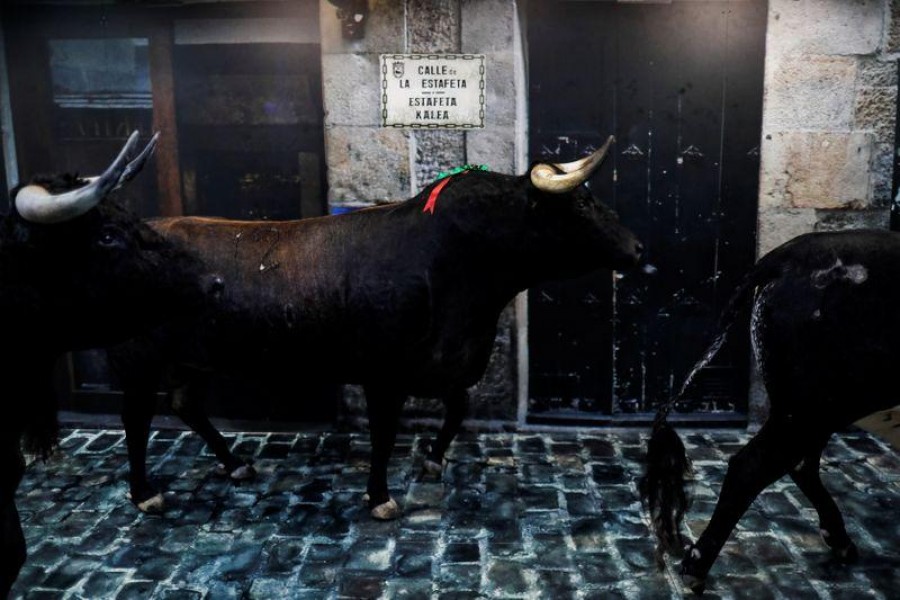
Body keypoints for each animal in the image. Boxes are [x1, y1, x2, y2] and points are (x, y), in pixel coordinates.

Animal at [3, 131, 644, 592]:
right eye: (584, 201)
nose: (637, 248)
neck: (463, 271)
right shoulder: (385, 372)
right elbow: (384, 434)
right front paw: (381, 496)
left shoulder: (443, 363)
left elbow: (458, 407)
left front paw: (433, 459)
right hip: (137, 362)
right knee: (137, 422)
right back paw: (145, 493)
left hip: (193, 359)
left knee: (186, 404)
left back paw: (235, 464)